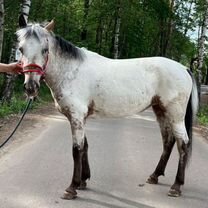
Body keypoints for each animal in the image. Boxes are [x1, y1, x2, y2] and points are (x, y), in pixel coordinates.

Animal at [16, 17, 198, 200]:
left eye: (45, 50)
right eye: (21, 49)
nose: (30, 87)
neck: (71, 71)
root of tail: (184, 68)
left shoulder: (76, 116)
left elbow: (77, 149)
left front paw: (72, 187)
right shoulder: (80, 118)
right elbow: (85, 146)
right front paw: (83, 181)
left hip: (176, 114)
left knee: (183, 143)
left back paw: (176, 186)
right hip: (161, 111)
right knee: (168, 141)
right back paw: (154, 176)